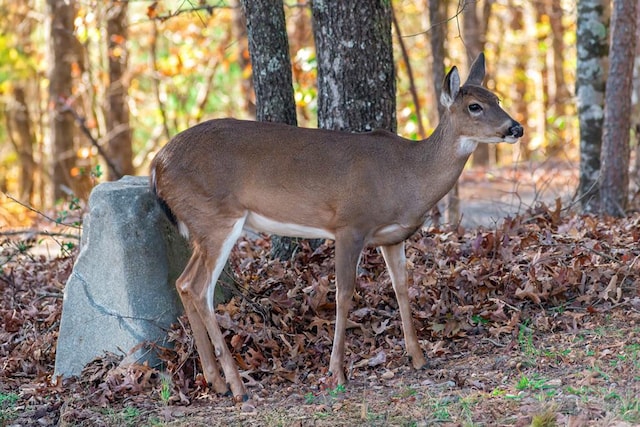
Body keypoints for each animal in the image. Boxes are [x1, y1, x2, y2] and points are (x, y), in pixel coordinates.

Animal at [151, 52, 524, 402]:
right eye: (475, 106)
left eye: (497, 98)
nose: (515, 128)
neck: (409, 177)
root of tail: (156, 164)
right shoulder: (350, 225)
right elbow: (344, 294)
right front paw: (337, 372)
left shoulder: (392, 237)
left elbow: (402, 287)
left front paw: (418, 358)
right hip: (217, 216)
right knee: (199, 287)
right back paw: (238, 387)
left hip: (203, 225)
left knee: (183, 283)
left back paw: (216, 382)